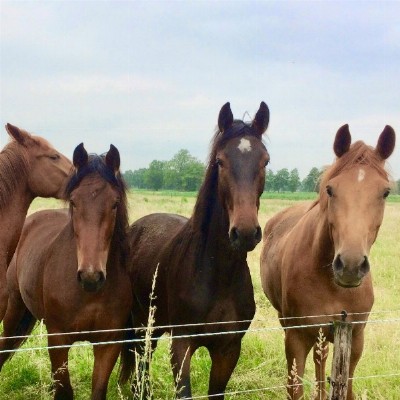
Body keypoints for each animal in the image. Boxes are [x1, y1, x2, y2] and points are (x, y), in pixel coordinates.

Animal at [0, 144, 134, 400]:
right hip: (14, 310)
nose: (91, 277)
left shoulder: (109, 343)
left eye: (114, 203)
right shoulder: (58, 339)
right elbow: (64, 390)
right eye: (73, 202)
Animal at [126, 101, 270, 398]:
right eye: (220, 162)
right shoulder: (182, 344)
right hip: (140, 319)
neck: (218, 275)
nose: (245, 232)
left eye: (265, 161)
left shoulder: (228, 349)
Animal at [260, 123, 396, 398]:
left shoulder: (356, 336)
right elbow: (295, 387)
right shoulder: (296, 337)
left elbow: (347, 385)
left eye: (386, 192)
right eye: (330, 190)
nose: (351, 266)